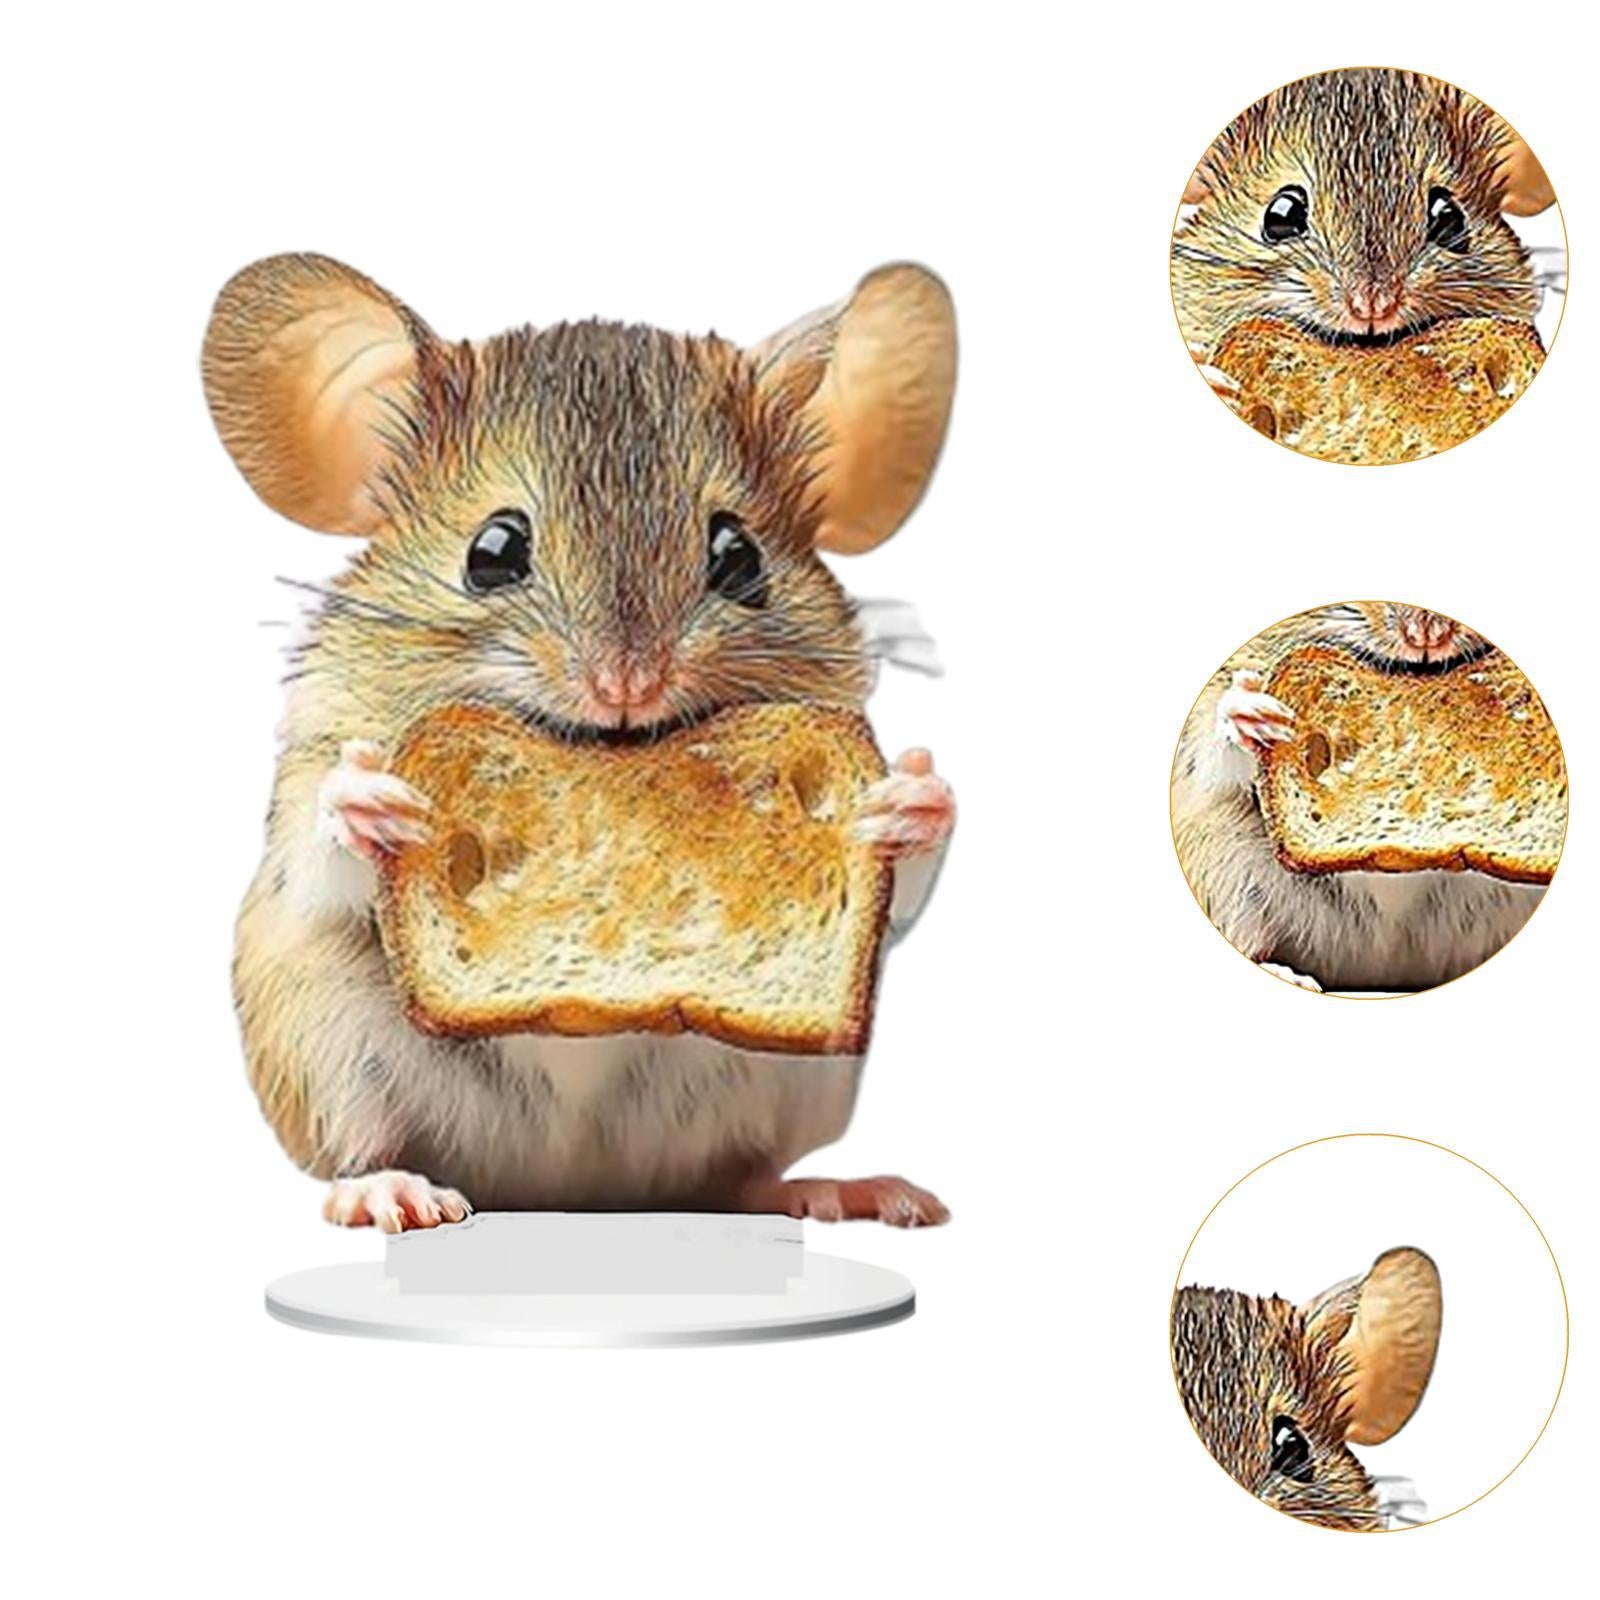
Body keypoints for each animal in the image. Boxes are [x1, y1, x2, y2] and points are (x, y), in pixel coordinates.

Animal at [204, 253, 959, 1230]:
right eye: (492, 551)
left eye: (740, 556)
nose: (626, 689)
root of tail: (572, 1191)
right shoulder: (303, 786)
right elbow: (322, 850)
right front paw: (373, 800)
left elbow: (902, 891)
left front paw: (911, 799)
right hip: (326, 1046)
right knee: (359, 1150)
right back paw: (394, 1195)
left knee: (744, 1178)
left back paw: (850, 1191)